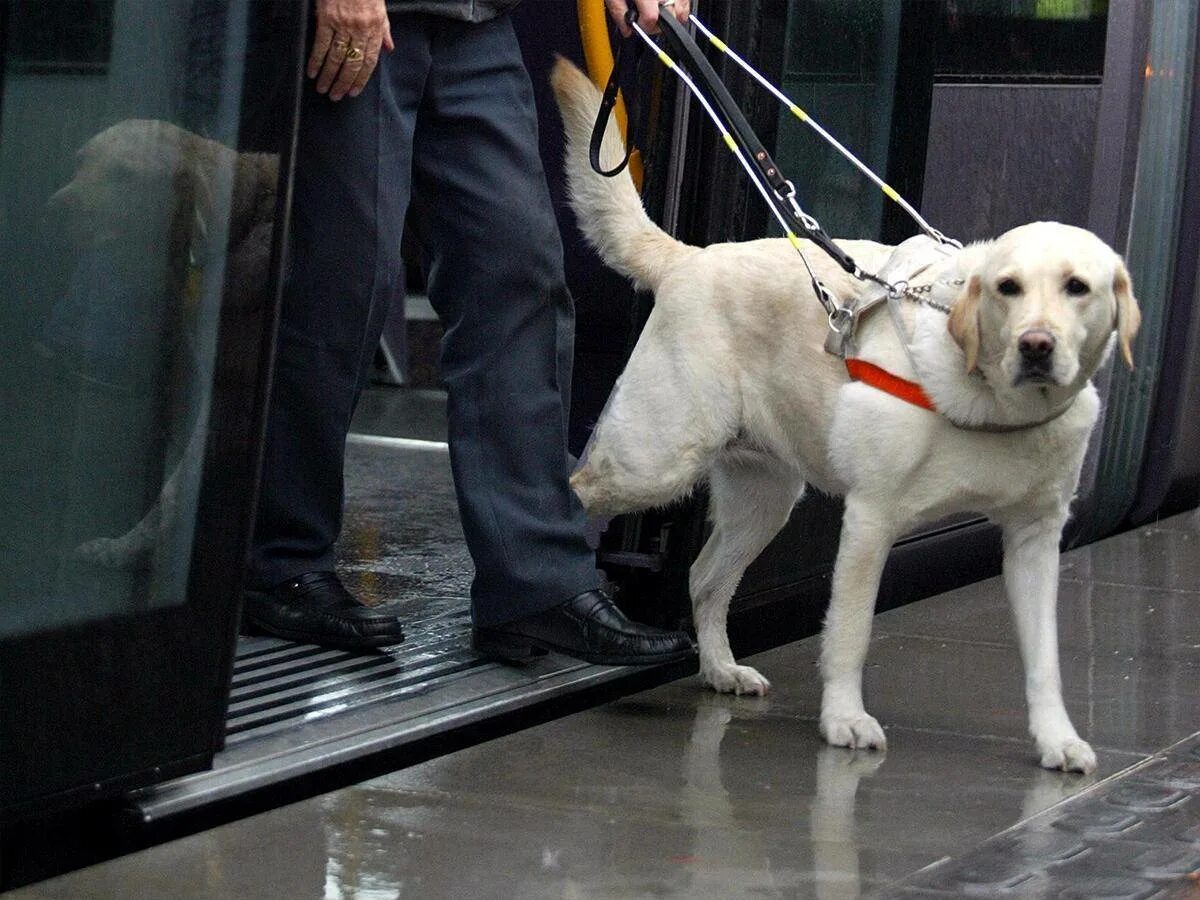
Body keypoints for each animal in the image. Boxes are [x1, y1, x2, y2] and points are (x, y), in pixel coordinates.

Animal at [549, 60, 1137, 777]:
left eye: (1077, 288)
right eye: (1008, 288)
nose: (1036, 346)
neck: (996, 407)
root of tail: (692, 255)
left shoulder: (1035, 540)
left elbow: (1045, 659)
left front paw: (1056, 738)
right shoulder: (871, 519)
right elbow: (851, 632)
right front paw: (844, 720)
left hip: (764, 497)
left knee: (705, 577)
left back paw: (720, 669)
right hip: (655, 459)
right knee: (574, 490)